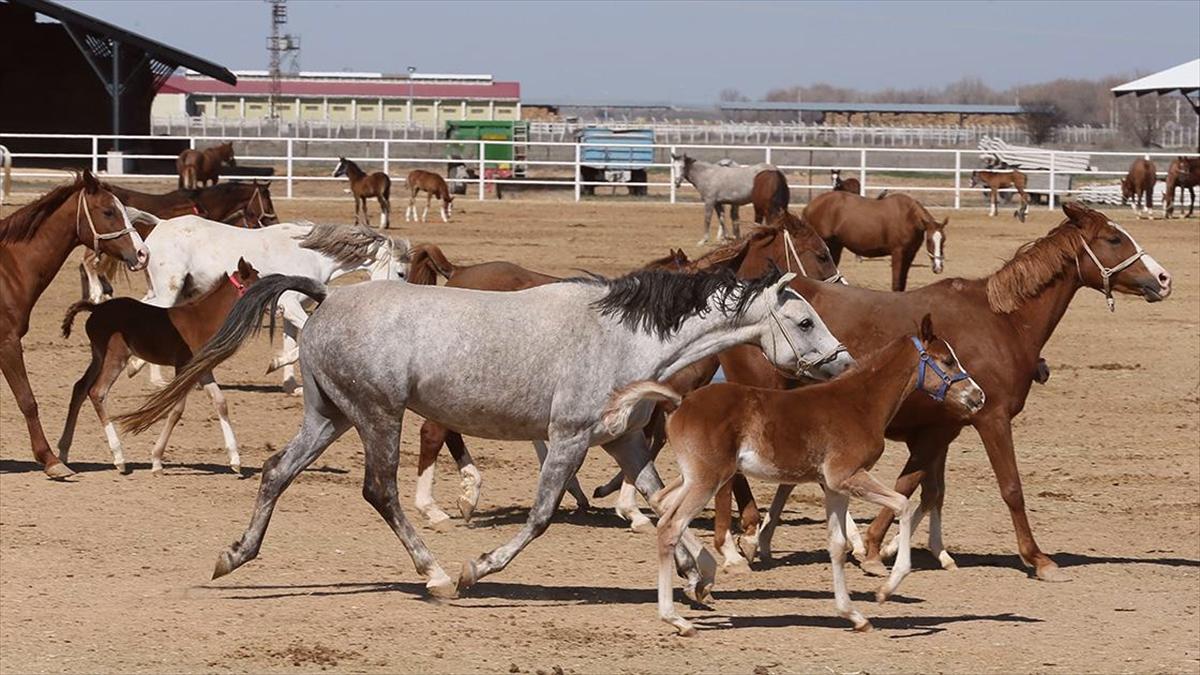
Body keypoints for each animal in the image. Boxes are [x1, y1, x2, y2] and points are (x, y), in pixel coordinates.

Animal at [0, 172, 148, 478]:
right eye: (108, 211)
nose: (142, 254)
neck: (9, 270)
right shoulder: (7, 342)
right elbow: (27, 400)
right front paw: (51, 460)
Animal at [129, 214, 405, 391]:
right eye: (401, 272)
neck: (312, 255)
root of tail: (160, 225)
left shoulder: (291, 310)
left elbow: (292, 342)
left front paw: (290, 385)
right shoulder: (290, 306)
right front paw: (275, 364)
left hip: (174, 291)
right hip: (170, 290)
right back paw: (144, 372)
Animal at [628, 312, 984, 634]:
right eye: (946, 361)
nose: (978, 396)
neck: (860, 403)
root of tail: (680, 402)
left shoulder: (834, 487)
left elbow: (837, 545)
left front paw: (854, 615)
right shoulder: (847, 476)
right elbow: (903, 505)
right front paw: (885, 590)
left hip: (696, 476)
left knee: (662, 504)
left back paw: (701, 581)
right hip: (707, 479)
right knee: (670, 526)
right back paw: (677, 618)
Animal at [710, 201, 1171, 581]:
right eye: (1113, 239)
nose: (1163, 278)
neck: (1001, 323)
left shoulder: (943, 427)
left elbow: (919, 486)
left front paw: (883, 549)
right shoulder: (990, 419)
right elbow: (1010, 488)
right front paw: (1038, 559)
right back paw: (740, 543)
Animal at [801, 186, 950, 289]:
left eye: (943, 241)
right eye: (929, 240)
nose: (938, 267)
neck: (908, 217)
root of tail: (809, 207)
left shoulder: (909, 255)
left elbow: (902, 284)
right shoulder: (898, 253)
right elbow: (896, 284)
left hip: (835, 246)